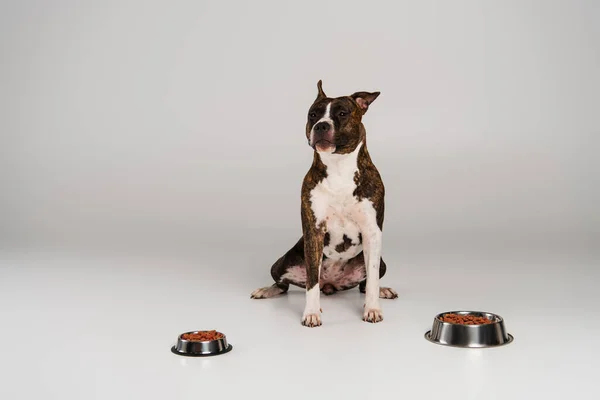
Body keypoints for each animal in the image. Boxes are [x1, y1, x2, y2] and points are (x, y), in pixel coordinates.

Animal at [251, 79, 396, 326]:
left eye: (342, 113)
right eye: (313, 115)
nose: (321, 126)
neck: (338, 166)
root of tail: (332, 283)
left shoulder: (372, 231)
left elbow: (372, 278)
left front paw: (373, 308)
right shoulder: (314, 230)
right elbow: (311, 281)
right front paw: (311, 312)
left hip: (380, 261)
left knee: (365, 282)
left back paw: (382, 290)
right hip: (281, 262)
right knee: (283, 283)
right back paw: (266, 290)